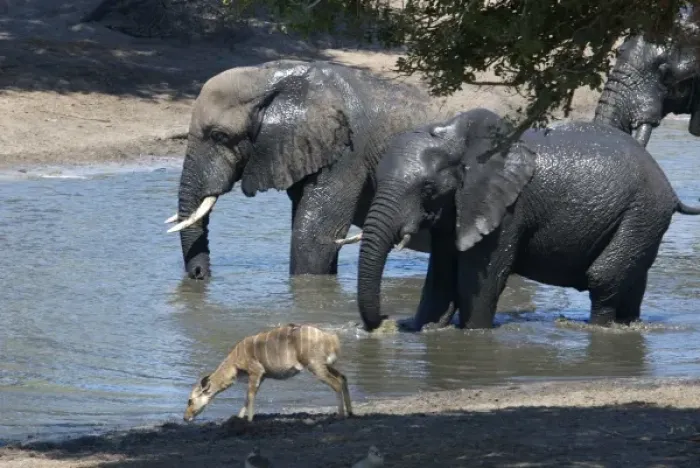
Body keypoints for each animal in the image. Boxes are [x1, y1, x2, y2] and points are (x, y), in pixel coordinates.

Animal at [352, 108, 700, 332]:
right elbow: (440, 278)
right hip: (644, 218)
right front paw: (422, 328)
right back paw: (629, 324)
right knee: (631, 280)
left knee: (603, 277)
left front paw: (474, 334)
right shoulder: (456, 209)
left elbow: (479, 280)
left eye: (427, 188)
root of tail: (668, 185)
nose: (384, 321)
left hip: (642, 212)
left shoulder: (507, 209)